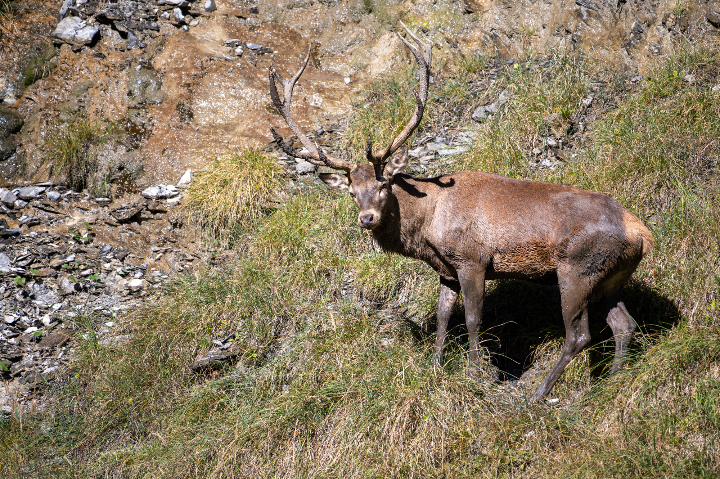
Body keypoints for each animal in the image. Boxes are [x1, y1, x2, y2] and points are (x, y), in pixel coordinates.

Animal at [267, 23, 654, 401]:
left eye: (384, 185)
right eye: (351, 193)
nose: (367, 218)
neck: (428, 224)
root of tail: (643, 233)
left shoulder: (472, 259)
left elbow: (471, 320)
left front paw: (475, 373)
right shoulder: (446, 269)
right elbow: (442, 317)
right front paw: (436, 366)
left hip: (578, 268)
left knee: (580, 335)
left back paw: (539, 394)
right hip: (611, 277)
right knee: (624, 325)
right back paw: (609, 384)